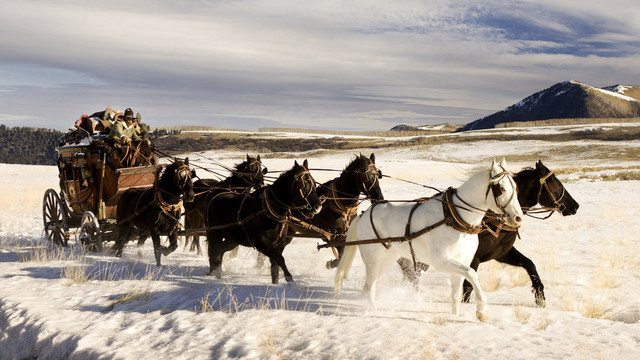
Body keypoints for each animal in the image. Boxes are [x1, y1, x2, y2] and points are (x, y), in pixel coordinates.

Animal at [336, 158, 524, 320]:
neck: (455, 218)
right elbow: (472, 274)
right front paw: (482, 310)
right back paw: (373, 310)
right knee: (369, 286)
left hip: (387, 258)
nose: (518, 217)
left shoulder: (462, 260)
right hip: (372, 260)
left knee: (369, 285)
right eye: (501, 188)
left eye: (516, 187)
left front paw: (456, 316)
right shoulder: (441, 261)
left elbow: (456, 295)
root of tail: (363, 214)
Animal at [398, 160, 576, 306]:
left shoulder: (502, 253)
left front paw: (540, 297)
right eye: (555, 183)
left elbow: (530, 264)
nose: (575, 206)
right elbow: (468, 289)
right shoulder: (473, 259)